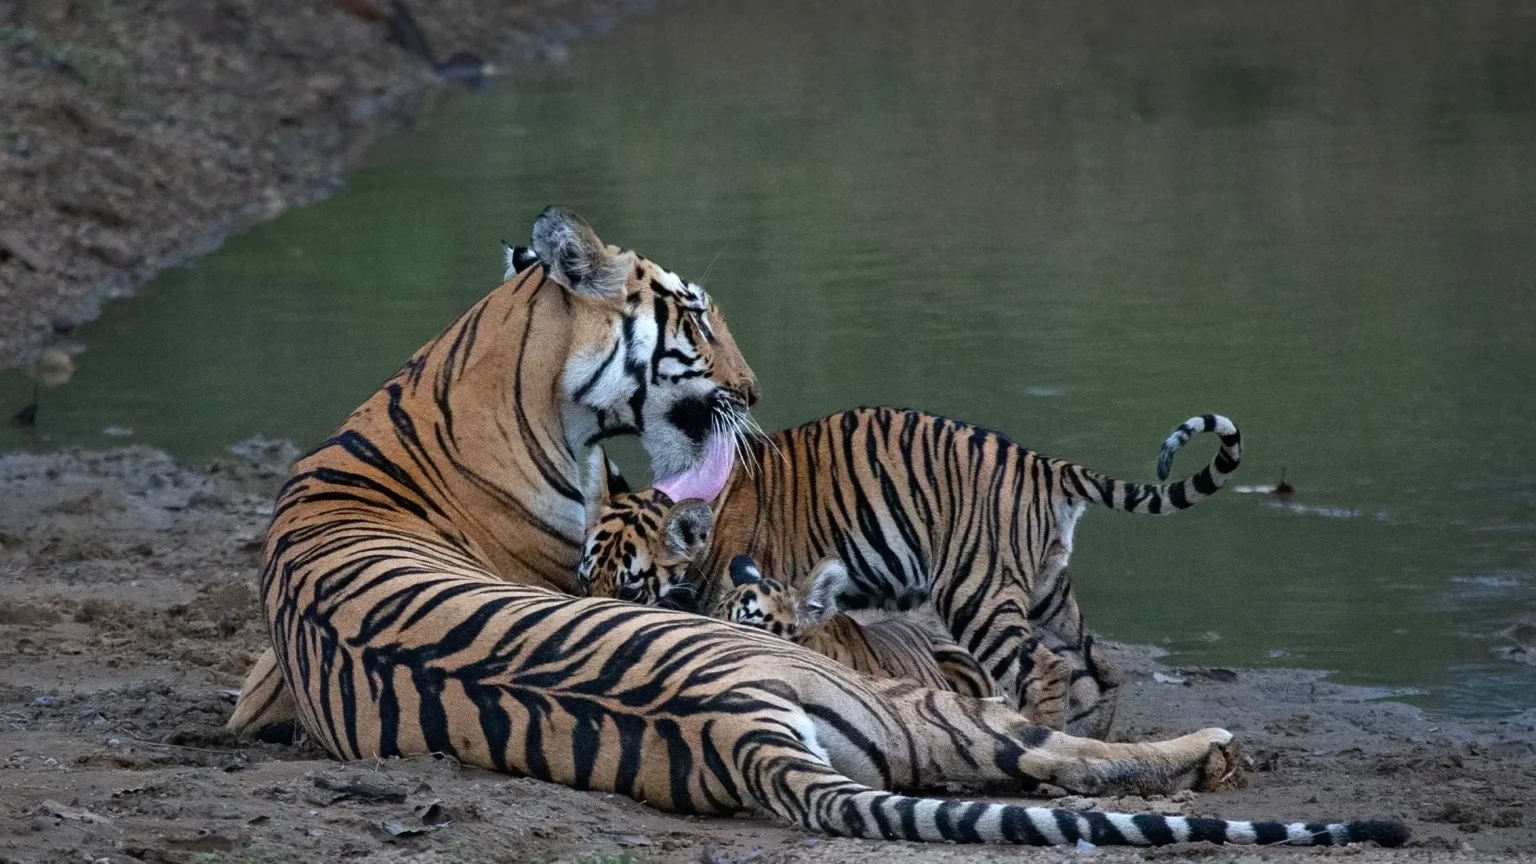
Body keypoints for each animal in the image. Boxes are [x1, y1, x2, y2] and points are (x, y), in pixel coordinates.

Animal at [577, 407, 1241, 740]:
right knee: (1097, 667)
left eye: (631, 585)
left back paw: (1038, 736)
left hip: (976, 592)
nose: (590, 609)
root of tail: (1039, 462)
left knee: (1046, 668)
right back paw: (1090, 741)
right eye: (587, 580)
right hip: (1049, 594)